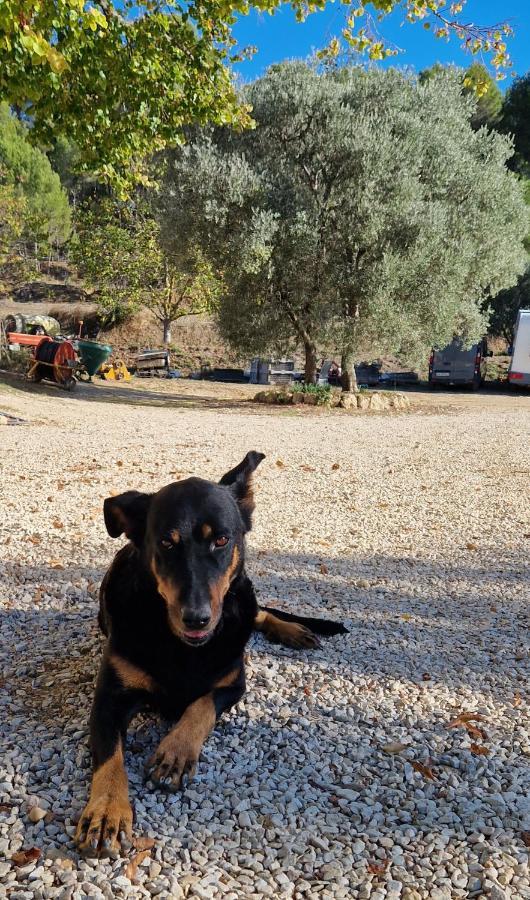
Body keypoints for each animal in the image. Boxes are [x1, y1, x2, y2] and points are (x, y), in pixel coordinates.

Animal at [75, 454, 346, 856]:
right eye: (166, 543)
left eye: (221, 540)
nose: (197, 617)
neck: (180, 646)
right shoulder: (110, 698)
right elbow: (110, 755)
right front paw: (108, 808)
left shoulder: (233, 683)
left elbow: (200, 707)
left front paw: (176, 751)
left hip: (245, 600)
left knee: (258, 612)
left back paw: (290, 629)